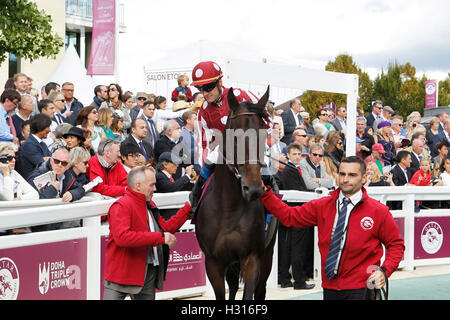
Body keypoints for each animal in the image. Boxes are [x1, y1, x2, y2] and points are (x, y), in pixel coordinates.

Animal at [196, 85, 278, 300]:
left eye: (263, 133)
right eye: (236, 136)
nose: (254, 189)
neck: (228, 209)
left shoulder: (252, 258)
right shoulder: (213, 263)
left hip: (267, 254)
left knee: (260, 289)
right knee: (233, 286)